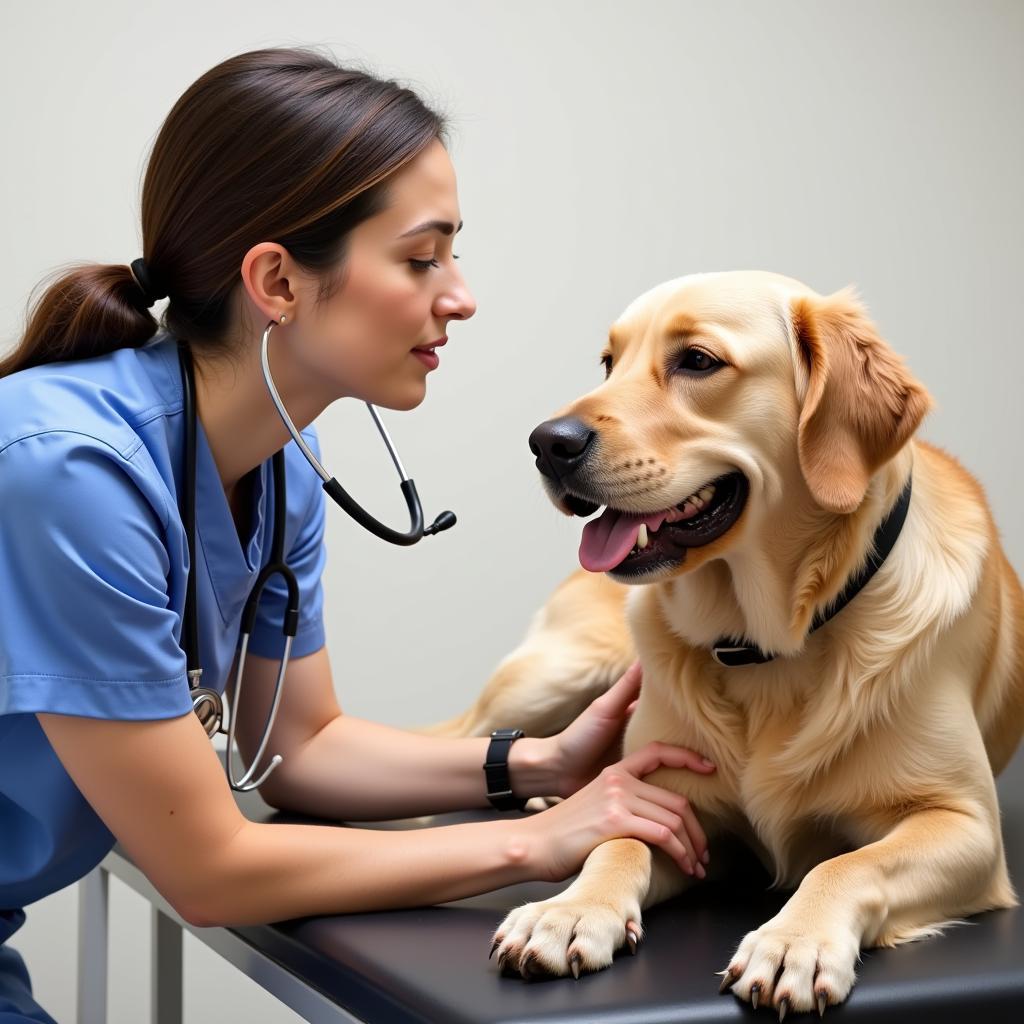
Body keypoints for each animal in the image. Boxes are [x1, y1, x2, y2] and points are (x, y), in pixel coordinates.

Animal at [425, 272, 1024, 1015]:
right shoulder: (666, 802)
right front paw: (567, 911)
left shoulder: (965, 823)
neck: (767, 644)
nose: (546, 443)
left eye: (697, 361)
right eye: (609, 363)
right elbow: (616, 843)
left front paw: (794, 941)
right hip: (562, 671)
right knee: (466, 741)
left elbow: (846, 862)